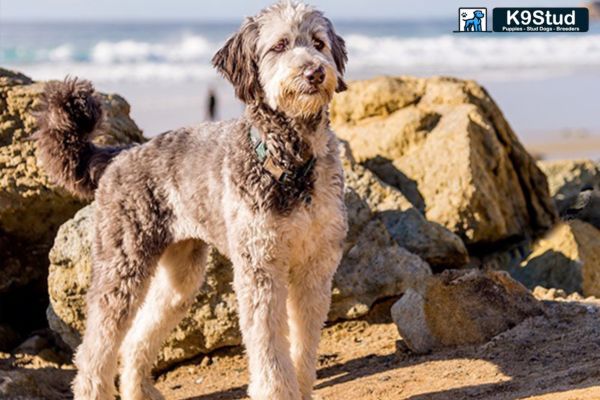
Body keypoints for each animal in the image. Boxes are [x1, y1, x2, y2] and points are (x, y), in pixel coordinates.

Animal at [35, 0, 350, 400]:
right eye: (279, 45)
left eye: (318, 43)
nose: (314, 72)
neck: (292, 161)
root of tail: (119, 154)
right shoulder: (260, 268)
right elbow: (268, 349)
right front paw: (276, 389)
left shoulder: (316, 267)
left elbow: (304, 345)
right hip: (123, 265)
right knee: (94, 349)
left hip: (180, 275)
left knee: (136, 338)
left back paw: (140, 391)